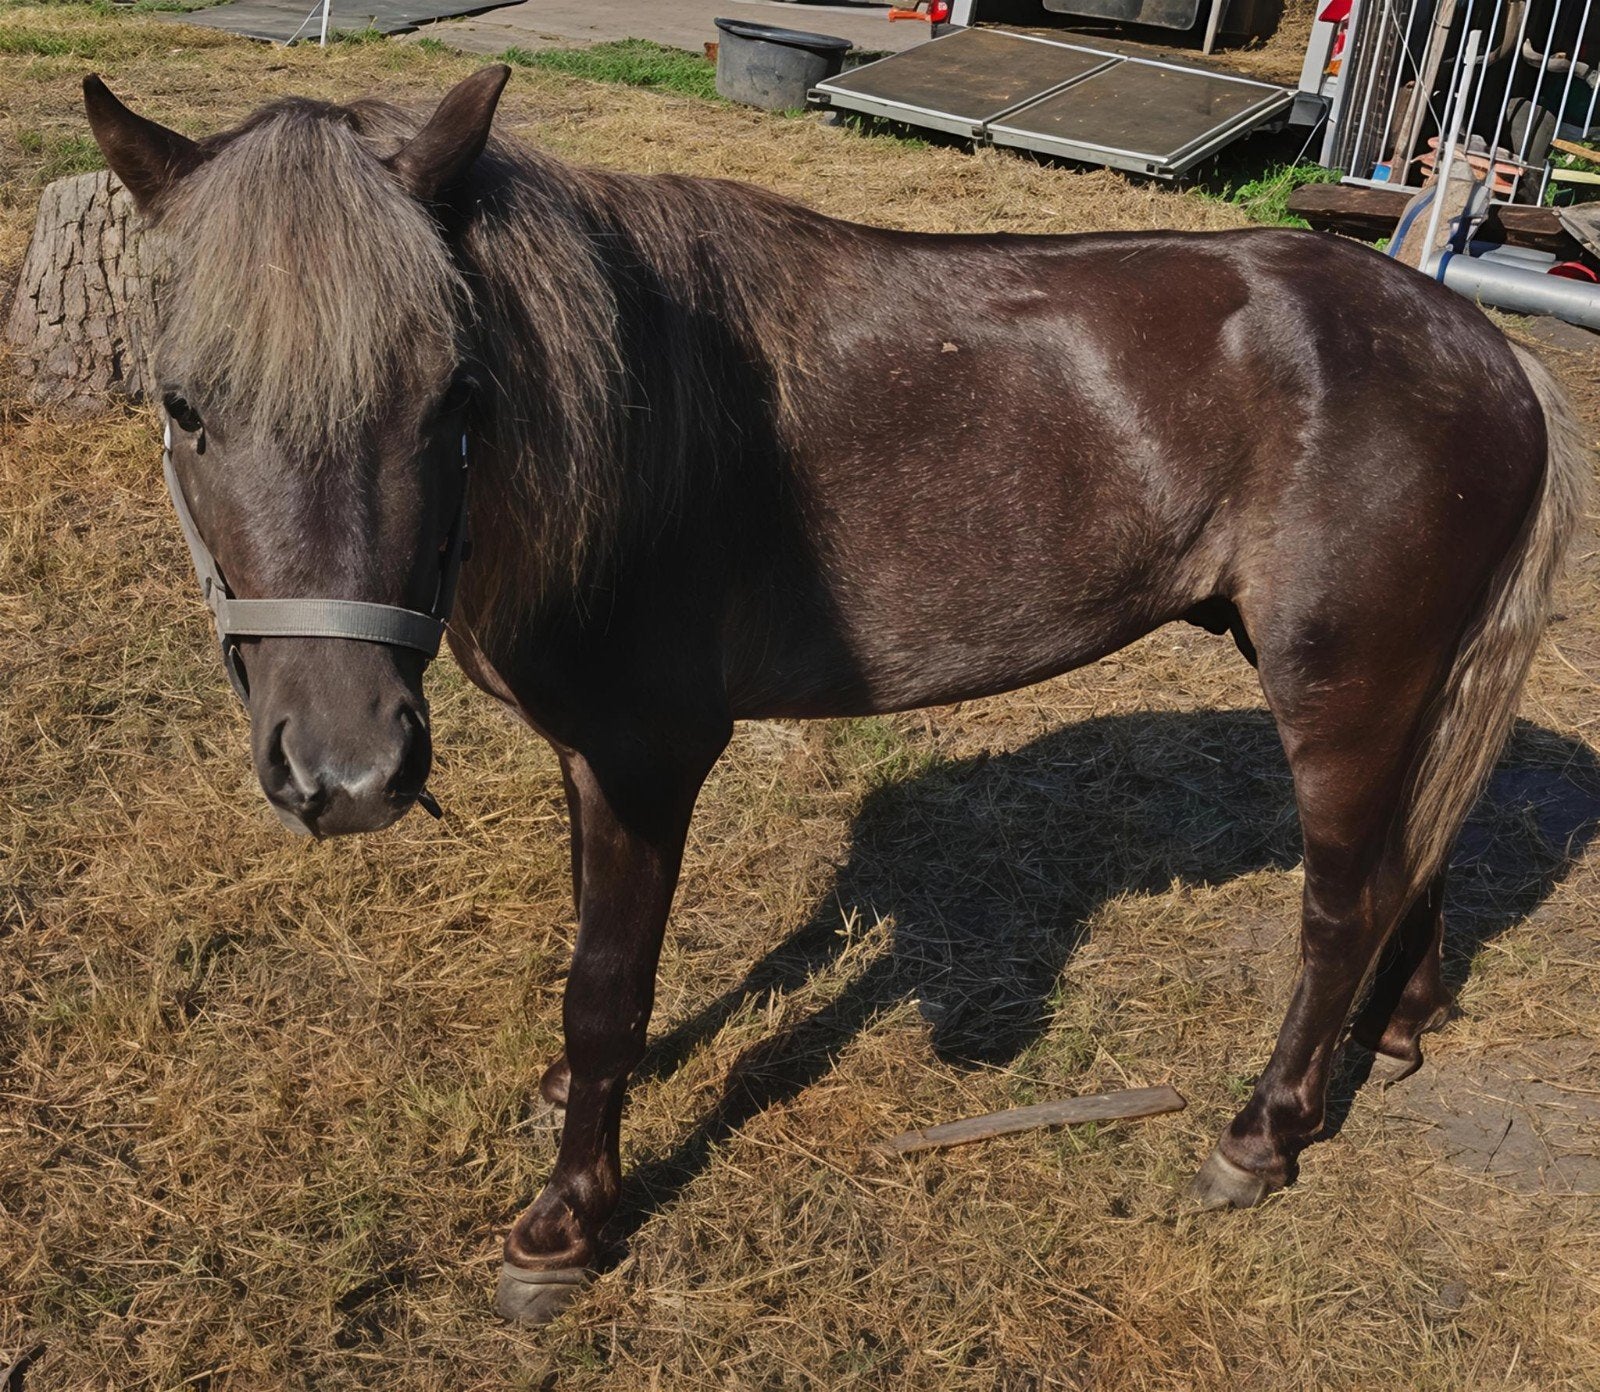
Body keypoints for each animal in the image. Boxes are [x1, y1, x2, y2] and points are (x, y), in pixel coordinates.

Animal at [83, 64, 1588, 1327]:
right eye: (185, 405)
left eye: (452, 396)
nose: (345, 772)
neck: (630, 430)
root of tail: (1487, 348)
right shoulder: (590, 762)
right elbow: (593, 968)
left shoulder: (648, 756)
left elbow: (605, 985)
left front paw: (563, 1227)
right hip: (1404, 683)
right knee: (1419, 856)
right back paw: (1394, 1035)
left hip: (1342, 687)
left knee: (1342, 903)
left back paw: (1261, 1133)